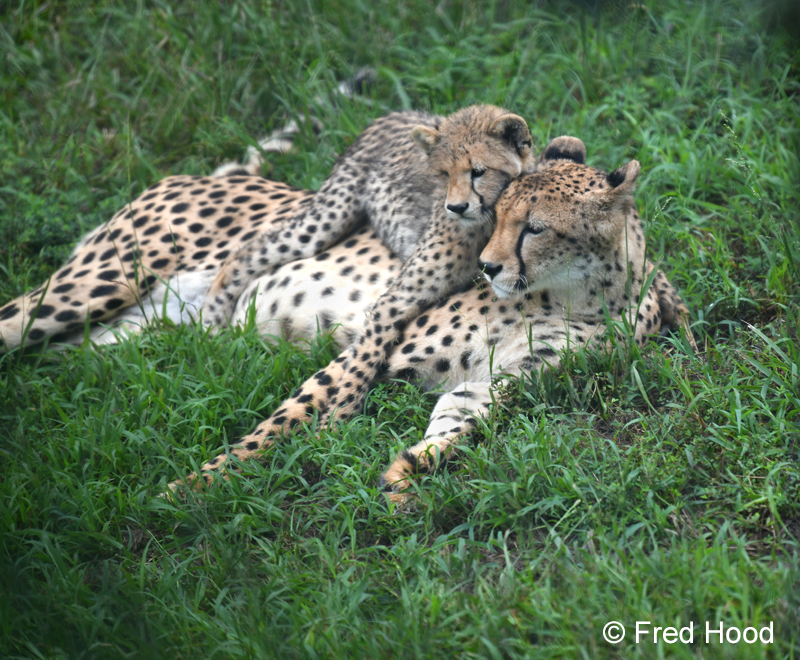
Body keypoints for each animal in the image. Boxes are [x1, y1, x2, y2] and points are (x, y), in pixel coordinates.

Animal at [174, 138, 694, 504]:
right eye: (497, 215)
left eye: (535, 228)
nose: (486, 266)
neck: (573, 295)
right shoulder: (374, 351)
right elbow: (284, 419)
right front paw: (194, 487)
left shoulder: (501, 383)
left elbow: (456, 424)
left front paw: (405, 474)